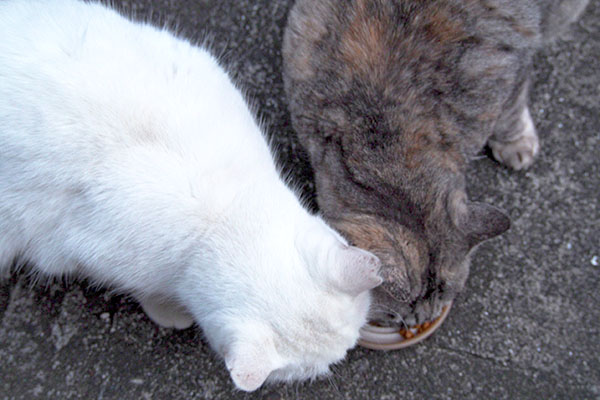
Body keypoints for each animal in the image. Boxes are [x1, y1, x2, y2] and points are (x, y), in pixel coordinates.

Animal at [0, 0, 382, 392]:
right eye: (310, 371)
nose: (342, 358)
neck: (219, 218)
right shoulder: (75, 253)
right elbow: (144, 288)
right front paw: (169, 310)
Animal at [284, 0, 588, 324]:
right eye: (394, 315)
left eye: (443, 298)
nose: (421, 321)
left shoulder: (513, 61)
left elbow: (512, 112)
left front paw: (515, 142)